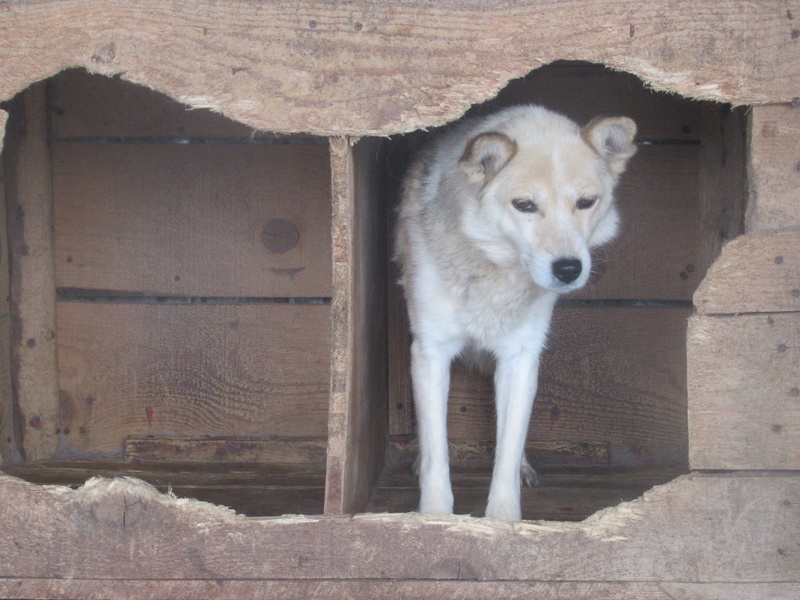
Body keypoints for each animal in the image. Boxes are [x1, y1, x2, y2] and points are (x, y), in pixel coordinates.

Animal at [394, 106, 636, 520]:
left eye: (586, 202)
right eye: (524, 205)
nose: (568, 269)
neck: (492, 269)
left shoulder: (521, 355)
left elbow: (507, 453)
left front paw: (504, 522)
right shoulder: (431, 351)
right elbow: (437, 455)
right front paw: (435, 518)